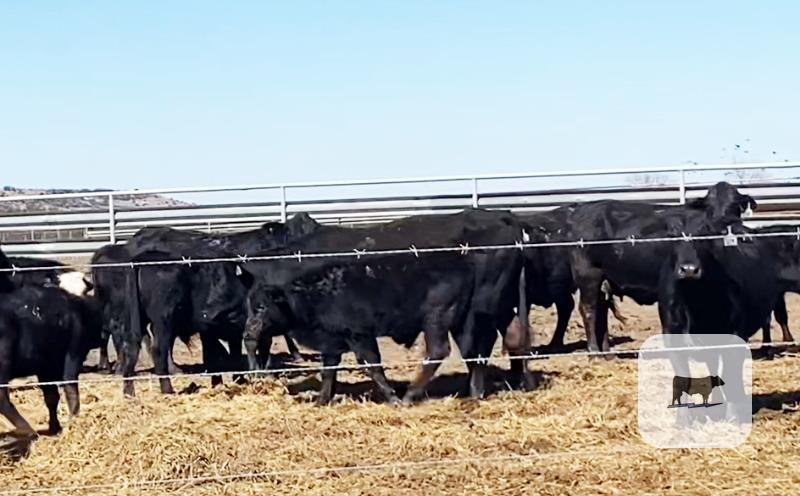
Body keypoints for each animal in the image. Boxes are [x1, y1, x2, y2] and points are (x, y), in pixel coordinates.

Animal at [243, 254, 474, 404]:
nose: (248, 331)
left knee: (437, 352)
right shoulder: (332, 343)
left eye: (262, 307)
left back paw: (410, 395)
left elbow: (373, 366)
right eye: (251, 306)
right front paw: (321, 400)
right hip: (458, 325)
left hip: (435, 321)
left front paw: (392, 398)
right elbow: (328, 372)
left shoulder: (360, 337)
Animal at [565, 182, 757, 353]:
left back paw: (607, 354)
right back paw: (594, 352)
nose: (721, 225)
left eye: (735, 206)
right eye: (710, 208)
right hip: (588, 275)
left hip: (604, 279)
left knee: (602, 310)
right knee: (588, 309)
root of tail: (582, 210)